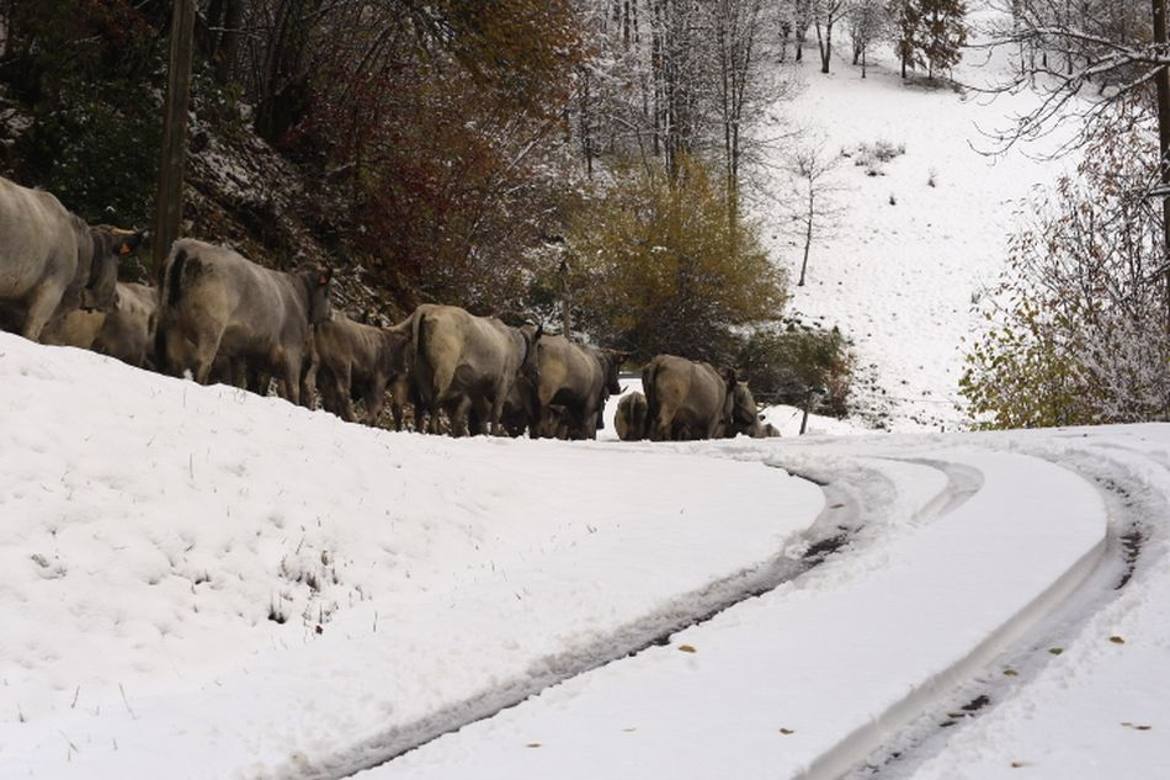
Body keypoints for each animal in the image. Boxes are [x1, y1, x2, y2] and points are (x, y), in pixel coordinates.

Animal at [153, 239, 332, 406]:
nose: (331, 313)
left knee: (174, 360)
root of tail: (187, 244)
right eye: (327, 292)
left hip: (171, 322)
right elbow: (292, 389)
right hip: (210, 330)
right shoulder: (292, 352)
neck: (300, 295)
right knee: (202, 362)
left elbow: (244, 383)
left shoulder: (243, 353)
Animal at [409, 304, 540, 439]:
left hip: (421, 370)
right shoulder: (503, 384)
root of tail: (430, 309)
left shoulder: (476, 388)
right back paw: (434, 430)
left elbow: (482, 414)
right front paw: (493, 434)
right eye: (538, 346)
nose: (536, 370)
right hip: (444, 370)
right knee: (436, 401)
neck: (517, 344)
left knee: (424, 405)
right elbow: (496, 412)